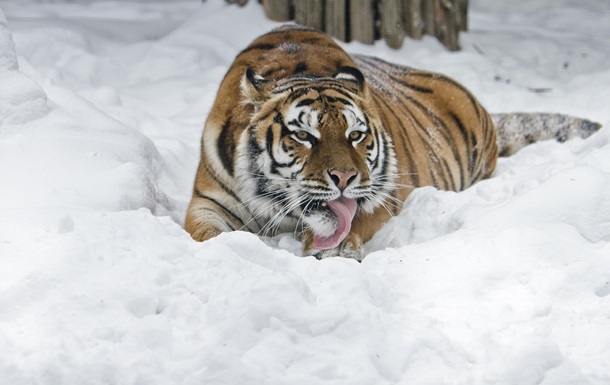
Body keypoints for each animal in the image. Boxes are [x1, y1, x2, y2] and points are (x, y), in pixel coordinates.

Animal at [182, 24, 600, 260]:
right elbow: (205, 235)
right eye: (303, 135)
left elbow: (359, 220)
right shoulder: (209, 201)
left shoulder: (386, 192)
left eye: (355, 135)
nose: (345, 178)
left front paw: (335, 249)